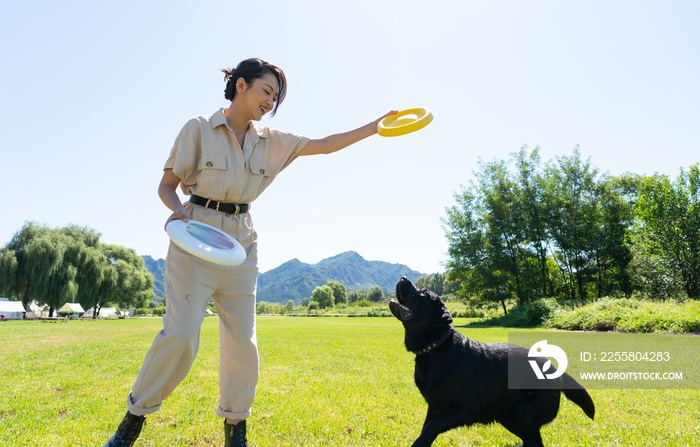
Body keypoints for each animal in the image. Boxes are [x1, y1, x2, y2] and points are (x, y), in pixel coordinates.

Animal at [388, 278, 596, 446]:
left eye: (422, 293)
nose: (403, 277)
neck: (436, 348)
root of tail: (555, 369)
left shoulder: (466, 408)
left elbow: (431, 428)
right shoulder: (434, 406)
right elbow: (427, 428)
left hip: (522, 415)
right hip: (508, 416)